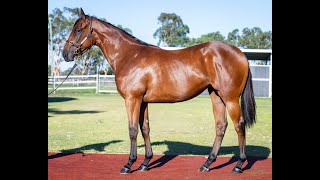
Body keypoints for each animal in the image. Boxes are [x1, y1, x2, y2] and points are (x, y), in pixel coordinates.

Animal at [63, 8, 258, 174]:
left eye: (79, 30)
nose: (66, 54)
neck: (129, 55)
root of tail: (240, 54)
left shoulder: (132, 99)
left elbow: (132, 129)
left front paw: (129, 164)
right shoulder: (143, 102)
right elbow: (145, 128)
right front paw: (145, 163)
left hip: (230, 98)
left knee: (239, 125)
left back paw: (239, 165)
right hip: (216, 96)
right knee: (221, 126)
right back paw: (207, 164)